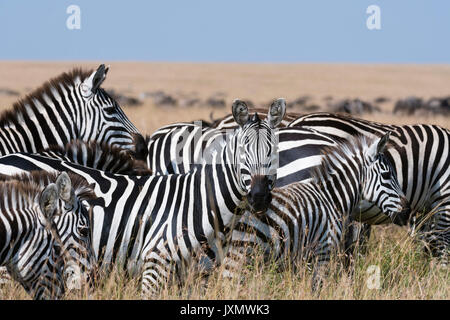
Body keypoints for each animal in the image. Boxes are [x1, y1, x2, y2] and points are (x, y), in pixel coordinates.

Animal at [0, 99, 284, 296]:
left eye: (274, 150)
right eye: (243, 151)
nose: (259, 196)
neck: (203, 203)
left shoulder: (198, 278)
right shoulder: (154, 265)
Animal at [223, 132, 410, 288]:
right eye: (387, 175)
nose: (407, 211)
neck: (332, 197)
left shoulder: (303, 258)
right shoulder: (323, 252)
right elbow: (317, 288)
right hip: (244, 253)